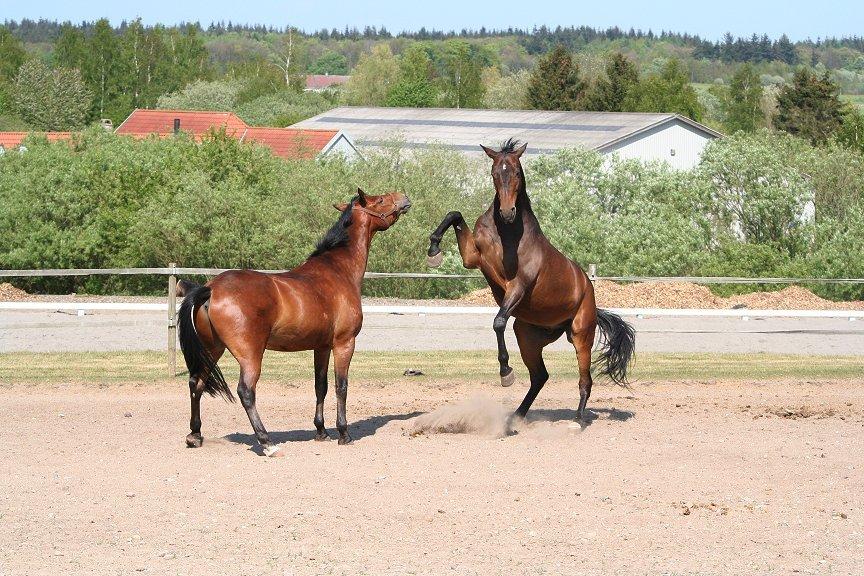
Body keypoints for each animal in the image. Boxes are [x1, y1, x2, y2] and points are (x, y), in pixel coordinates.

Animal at [176, 189, 412, 454]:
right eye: (380, 200)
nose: (403, 198)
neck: (338, 271)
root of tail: (210, 288)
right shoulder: (344, 343)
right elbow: (341, 386)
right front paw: (343, 433)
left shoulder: (321, 347)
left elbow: (321, 386)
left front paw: (321, 431)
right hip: (249, 354)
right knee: (246, 391)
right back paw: (266, 441)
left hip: (212, 348)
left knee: (196, 383)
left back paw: (195, 435)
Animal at [426, 138, 636, 418]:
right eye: (494, 173)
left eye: (516, 172)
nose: (507, 212)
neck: (506, 233)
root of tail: (588, 292)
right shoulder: (472, 258)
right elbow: (454, 214)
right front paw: (433, 251)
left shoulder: (517, 286)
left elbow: (498, 322)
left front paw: (505, 372)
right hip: (528, 336)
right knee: (540, 376)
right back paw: (516, 416)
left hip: (581, 336)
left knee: (585, 380)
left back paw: (577, 421)